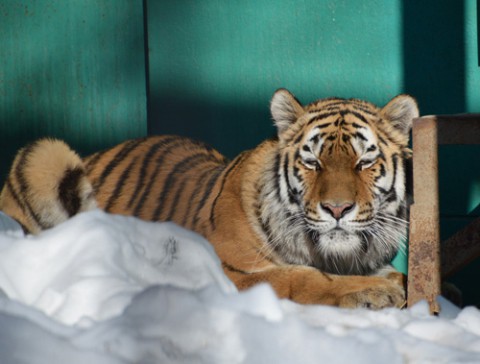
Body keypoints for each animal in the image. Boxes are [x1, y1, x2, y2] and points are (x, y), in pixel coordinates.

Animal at [0, 88, 418, 308]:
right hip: (45, 154)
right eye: (312, 162)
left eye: (364, 162)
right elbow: (304, 277)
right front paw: (377, 292)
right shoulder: (226, 270)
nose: (337, 209)